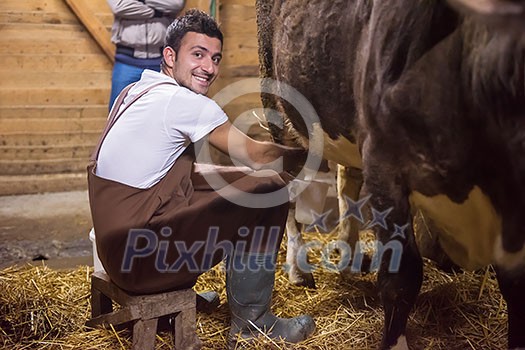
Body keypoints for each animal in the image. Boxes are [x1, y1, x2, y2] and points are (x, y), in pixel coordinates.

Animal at [256, 0, 524, 348]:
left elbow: (515, 284)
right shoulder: (385, 166)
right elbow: (402, 277)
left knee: (347, 178)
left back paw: (348, 251)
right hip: (279, 103)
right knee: (287, 187)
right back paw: (298, 268)